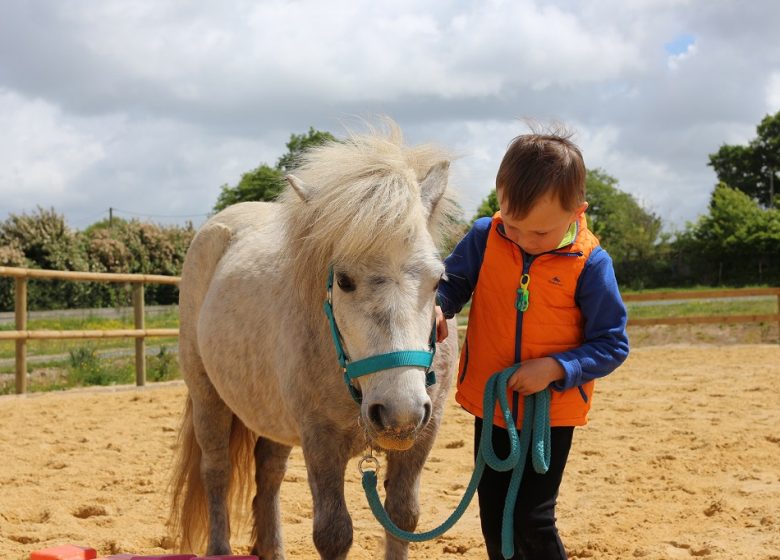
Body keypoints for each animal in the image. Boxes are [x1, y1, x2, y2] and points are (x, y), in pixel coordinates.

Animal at [168, 122, 460, 560]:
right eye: (344, 281)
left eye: (438, 279)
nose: (399, 411)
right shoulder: (320, 439)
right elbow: (333, 533)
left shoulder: (423, 433)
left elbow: (402, 517)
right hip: (207, 395)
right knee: (216, 471)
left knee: (269, 474)